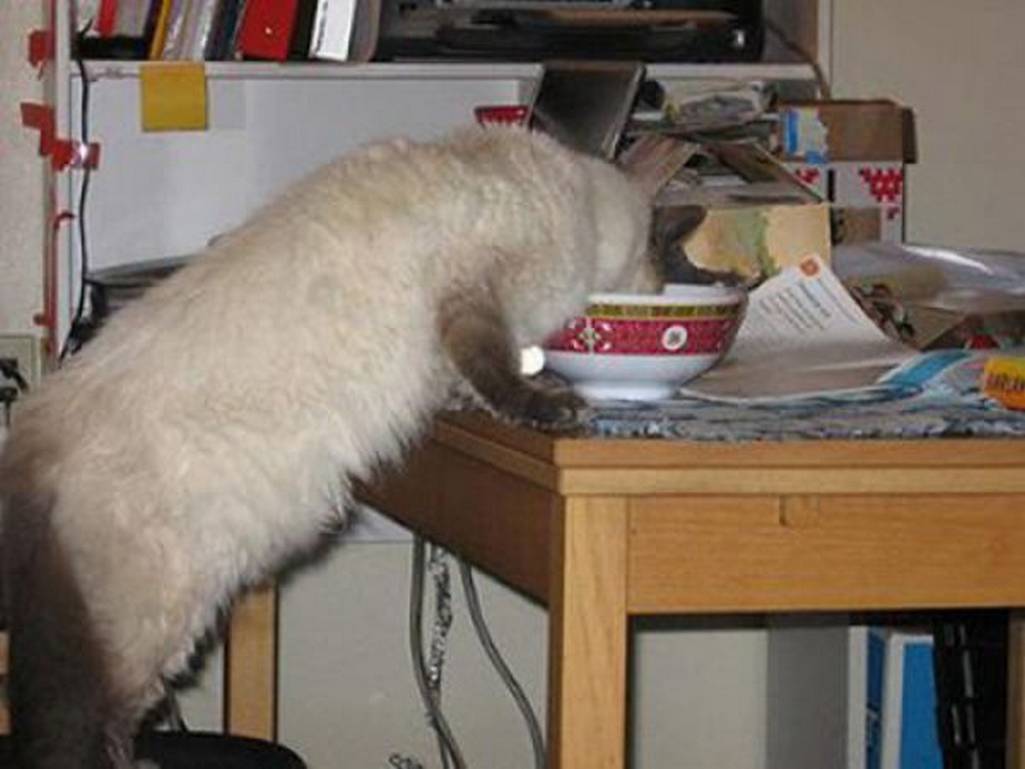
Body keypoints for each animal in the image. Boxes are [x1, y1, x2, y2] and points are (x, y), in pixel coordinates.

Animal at [0, 124, 664, 769]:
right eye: (655, 253)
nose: (661, 282)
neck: (566, 186)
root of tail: (36, 425)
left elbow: (470, 383)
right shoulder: (476, 296)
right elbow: (500, 374)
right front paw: (556, 403)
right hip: (155, 616)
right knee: (95, 718)